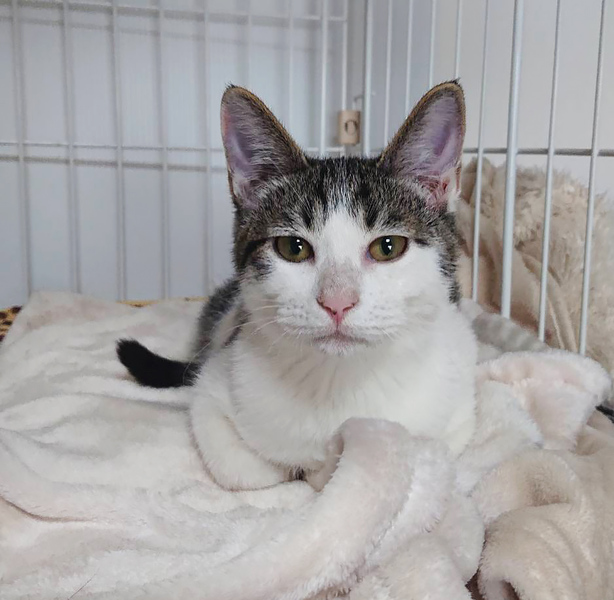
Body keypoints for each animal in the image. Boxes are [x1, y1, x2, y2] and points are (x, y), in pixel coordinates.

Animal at [118, 81, 478, 490]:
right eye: (293, 248)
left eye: (388, 247)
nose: (337, 301)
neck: (340, 380)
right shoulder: (212, 387)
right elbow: (245, 470)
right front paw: (309, 465)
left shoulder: (457, 408)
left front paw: (327, 463)